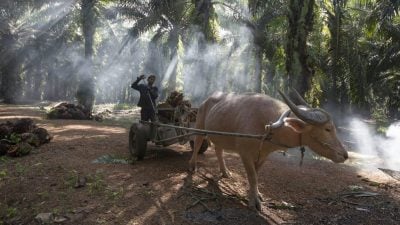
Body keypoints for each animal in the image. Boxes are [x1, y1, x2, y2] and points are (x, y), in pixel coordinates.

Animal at [188, 89, 346, 211]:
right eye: (327, 129)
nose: (344, 155)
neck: (268, 126)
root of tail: (206, 100)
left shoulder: (264, 156)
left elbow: (256, 176)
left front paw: (255, 194)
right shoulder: (245, 154)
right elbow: (252, 177)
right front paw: (254, 202)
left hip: (219, 135)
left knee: (218, 150)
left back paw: (225, 172)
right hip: (199, 126)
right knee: (197, 144)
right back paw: (192, 166)